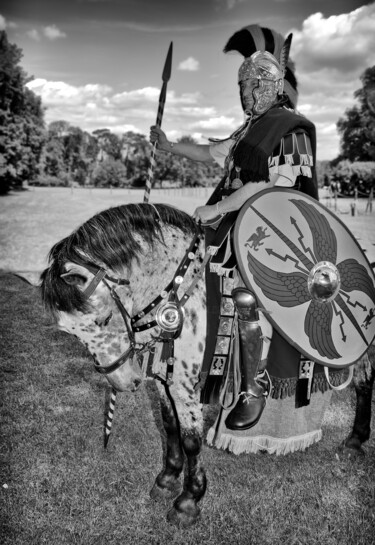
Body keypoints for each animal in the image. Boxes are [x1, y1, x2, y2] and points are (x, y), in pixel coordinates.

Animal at [41, 201, 375, 528]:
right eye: (72, 333)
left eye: (105, 318)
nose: (125, 382)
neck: (176, 289)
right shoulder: (165, 379)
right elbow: (169, 426)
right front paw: (167, 479)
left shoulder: (186, 384)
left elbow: (191, 439)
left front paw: (189, 500)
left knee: (363, 382)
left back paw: (354, 439)